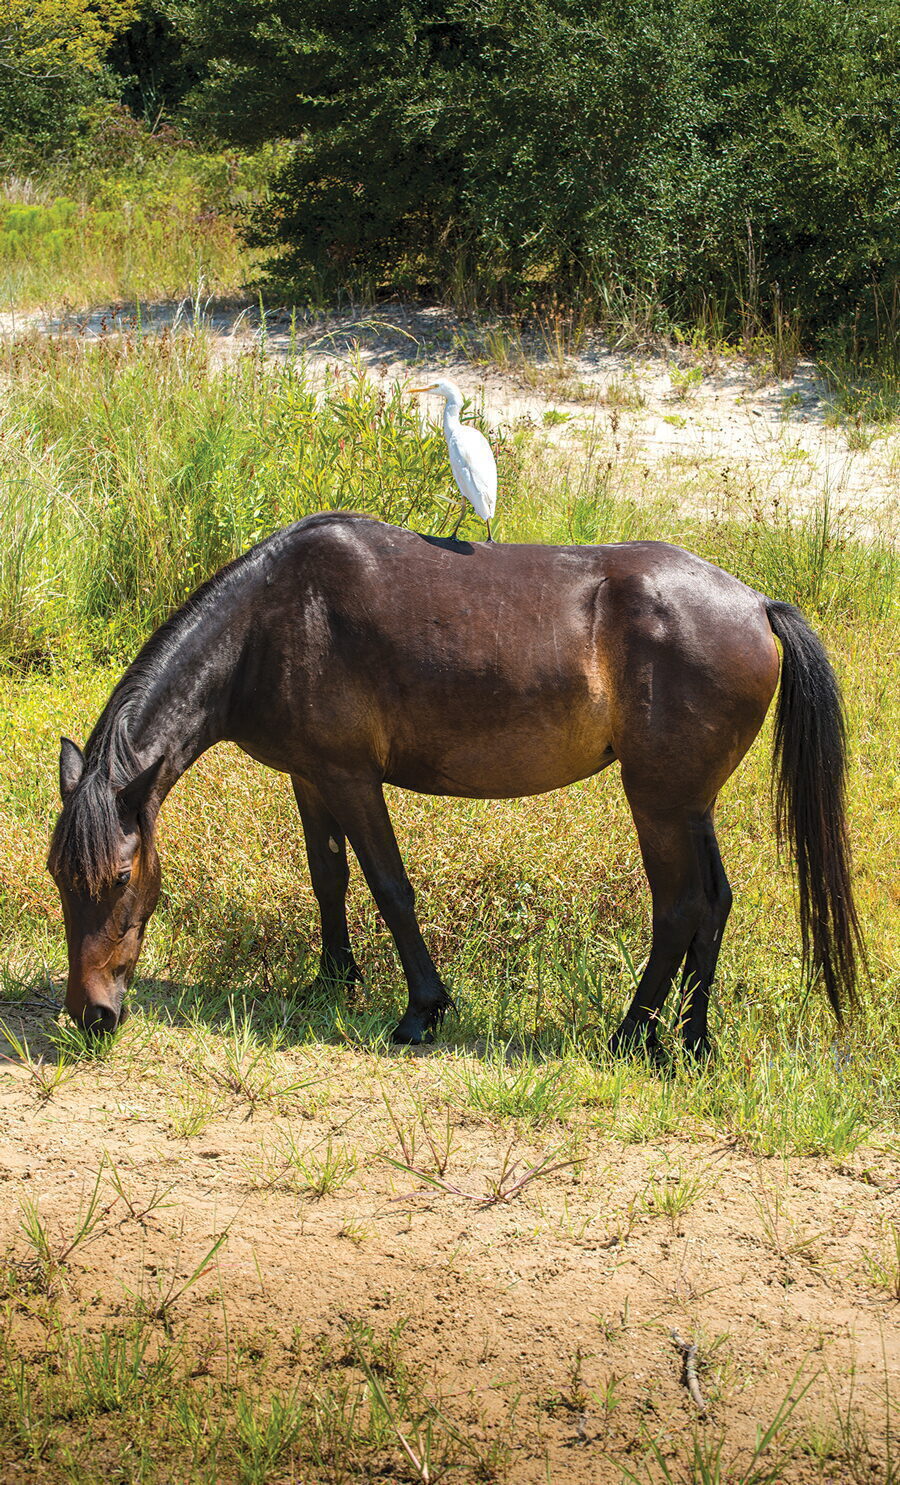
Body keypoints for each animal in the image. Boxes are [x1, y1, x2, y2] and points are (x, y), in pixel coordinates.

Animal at [49, 510, 867, 1057]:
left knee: (681, 906)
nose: (89, 1015)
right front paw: (332, 981)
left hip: (659, 803)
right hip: (691, 803)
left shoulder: (351, 778)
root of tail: (756, 604)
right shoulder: (310, 778)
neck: (270, 622)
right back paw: (693, 1039)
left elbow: (389, 887)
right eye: (59, 878)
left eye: (118, 877)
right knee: (715, 903)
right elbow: (328, 878)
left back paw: (632, 1033)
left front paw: (423, 1010)